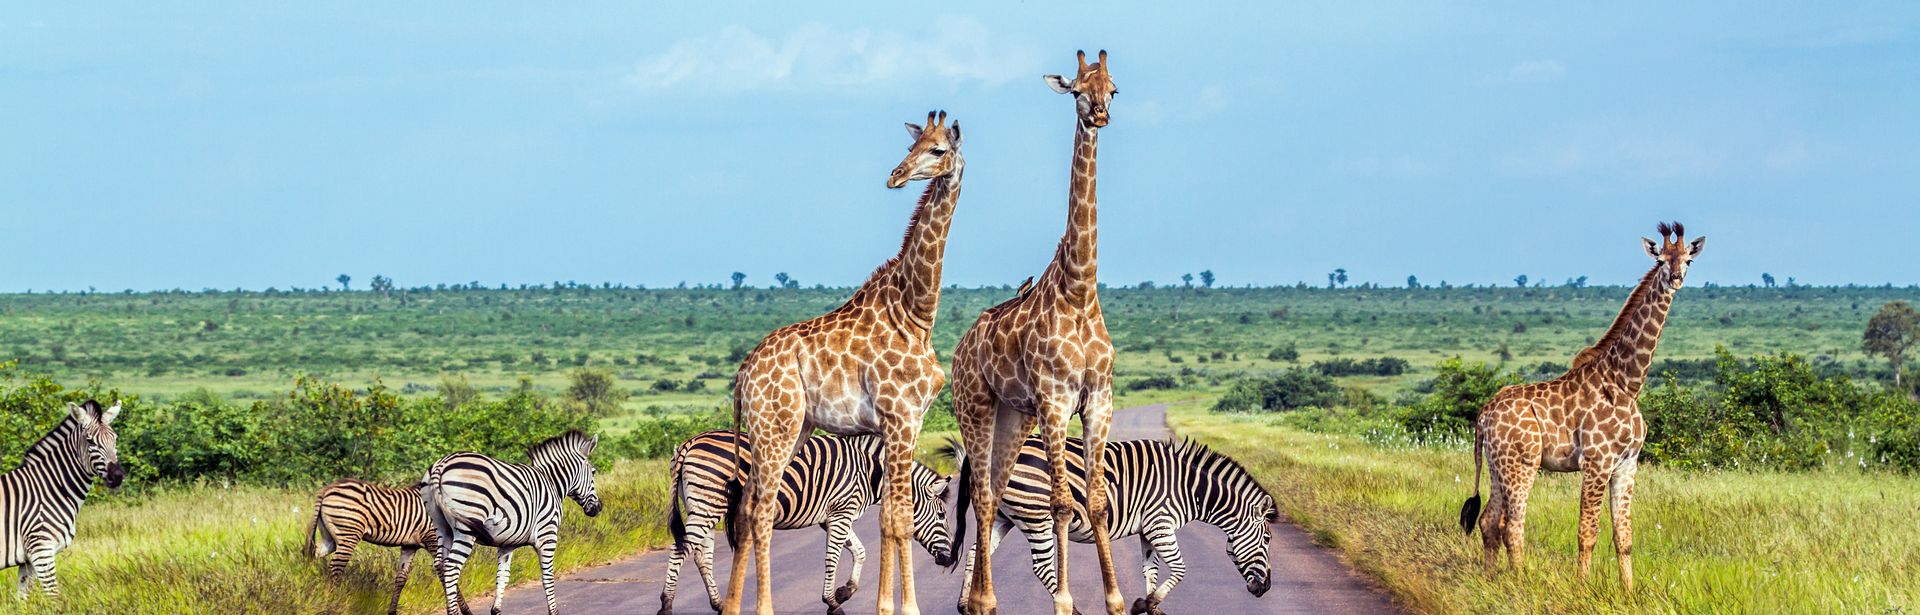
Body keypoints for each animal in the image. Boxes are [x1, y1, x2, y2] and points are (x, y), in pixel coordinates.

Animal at [2, 400, 124, 600]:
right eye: (90, 441)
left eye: (115, 439)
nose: (118, 476)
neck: (49, 488)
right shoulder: (41, 550)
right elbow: (54, 597)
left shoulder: (28, 560)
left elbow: (22, 599)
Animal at [306, 478, 467, 615]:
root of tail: (327, 489)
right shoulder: (432, 539)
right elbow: (446, 574)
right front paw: (462, 610)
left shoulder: (410, 545)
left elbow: (401, 578)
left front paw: (392, 611)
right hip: (348, 534)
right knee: (336, 568)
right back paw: (336, 602)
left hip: (330, 539)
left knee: (314, 556)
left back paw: (314, 592)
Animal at [423, 430, 602, 615]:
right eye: (593, 472)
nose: (598, 508)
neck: (552, 482)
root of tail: (441, 464)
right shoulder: (548, 535)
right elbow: (547, 576)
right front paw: (553, 611)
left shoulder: (507, 543)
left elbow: (503, 576)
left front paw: (496, 610)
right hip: (465, 528)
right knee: (451, 567)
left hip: (442, 527)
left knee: (440, 564)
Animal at [658, 430, 955, 615]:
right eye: (942, 516)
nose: (949, 559)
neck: (869, 472)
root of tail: (690, 442)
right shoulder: (841, 513)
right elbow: (833, 557)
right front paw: (833, 602)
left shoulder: (834, 516)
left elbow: (860, 551)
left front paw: (845, 591)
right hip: (708, 503)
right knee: (680, 549)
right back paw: (666, 605)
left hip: (703, 506)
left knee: (701, 556)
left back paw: (720, 605)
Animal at [948, 436, 1277, 615]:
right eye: (1267, 540)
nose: (1265, 589)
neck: (1189, 488)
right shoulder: (1161, 523)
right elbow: (1180, 568)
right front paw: (1143, 605)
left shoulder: (1148, 529)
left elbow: (1151, 569)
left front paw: (1152, 607)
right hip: (1036, 514)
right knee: (1041, 567)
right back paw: (1074, 610)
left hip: (1005, 516)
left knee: (977, 551)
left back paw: (965, 605)